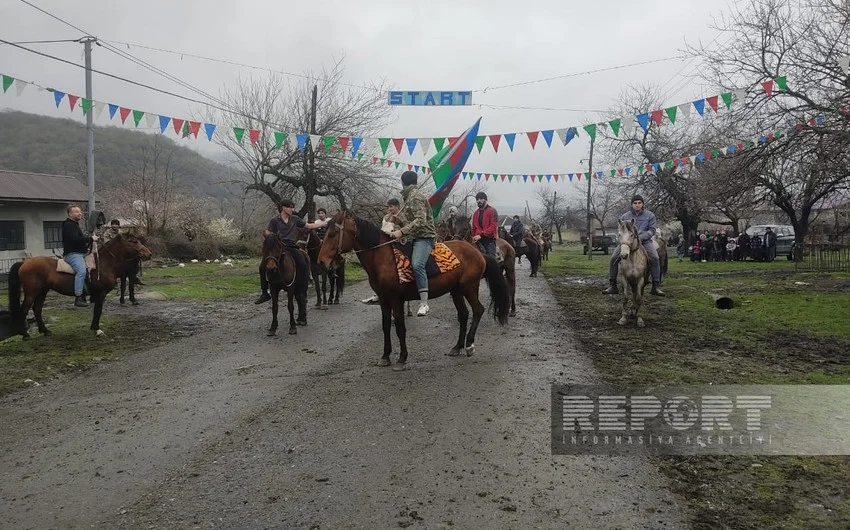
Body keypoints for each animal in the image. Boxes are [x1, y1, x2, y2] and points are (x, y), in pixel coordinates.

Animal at [7, 233, 152, 336]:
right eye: (134, 241)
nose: (148, 254)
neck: (104, 264)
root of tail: (24, 262)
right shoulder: (101, 293)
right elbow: (98, 310)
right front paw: (97, 329)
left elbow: (96, 311)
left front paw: (94, 327)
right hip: (31, 292)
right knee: (24, 310)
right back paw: (25, 334)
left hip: (43, 291)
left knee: (37, 309)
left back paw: (45, 331)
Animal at [314, 210, 506, 368]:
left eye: (332, 234)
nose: (321, 262)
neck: (384, 258)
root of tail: (478, 253)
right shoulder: (383, 299)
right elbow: (386, 325)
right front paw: (385, 356)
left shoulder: (396, 299)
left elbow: (400, 326)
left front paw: (402, 357)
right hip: (456, 290)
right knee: (464, 314)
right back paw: (457, 346)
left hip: (469, 287)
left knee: (478, 310)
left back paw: (469, 345)